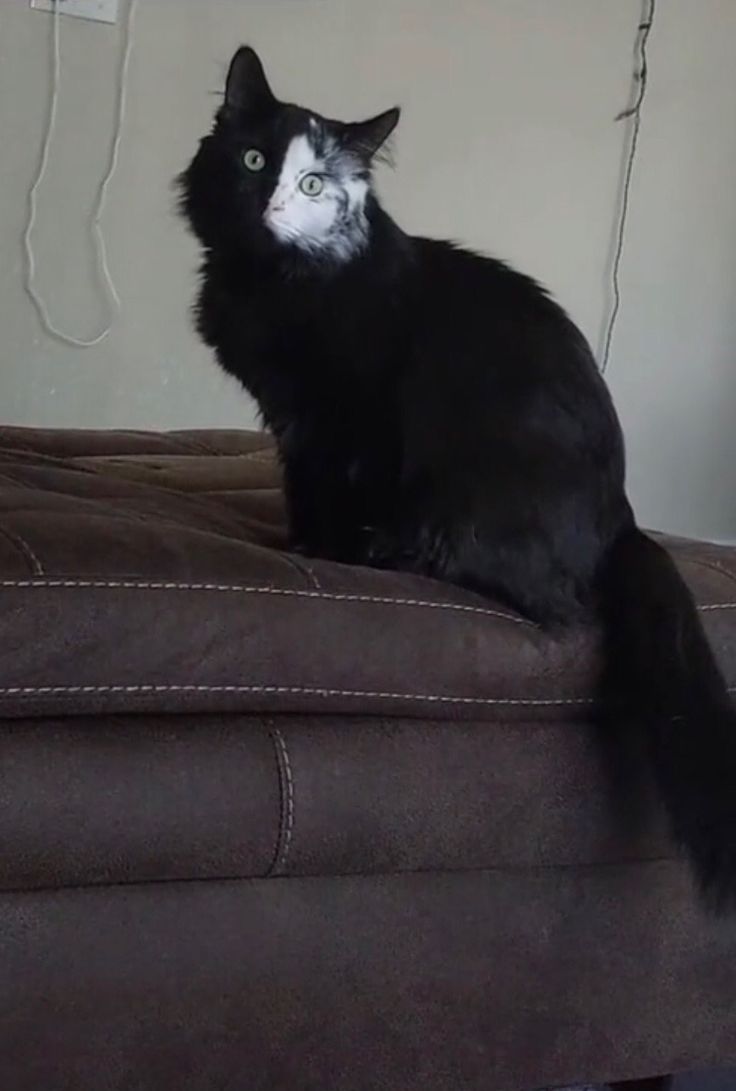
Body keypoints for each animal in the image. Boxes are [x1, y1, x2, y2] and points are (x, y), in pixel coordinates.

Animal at [178, 46, 736, 903]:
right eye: (252, 160)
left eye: (315, 186)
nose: (270, 201)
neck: (270, 279)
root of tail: (625, 519)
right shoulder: (295, 422)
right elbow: (300, 486)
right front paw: (299, 541)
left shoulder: (350, 418)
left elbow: (329, 488)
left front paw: (320, 552)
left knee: (530, 591)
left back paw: (388, 551)